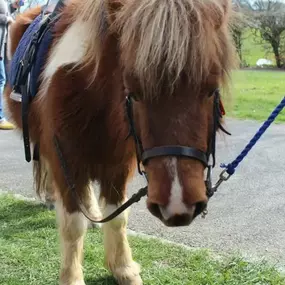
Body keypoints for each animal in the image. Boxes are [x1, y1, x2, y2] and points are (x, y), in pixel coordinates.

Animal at [5, 0, 235, 282]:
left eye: (211, 89)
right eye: (133, 91)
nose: (178, 205)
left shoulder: (117, 166)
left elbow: (118, 217)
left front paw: (123, 269)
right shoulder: (66, 158)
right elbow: (73, 224)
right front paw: (72, 277)